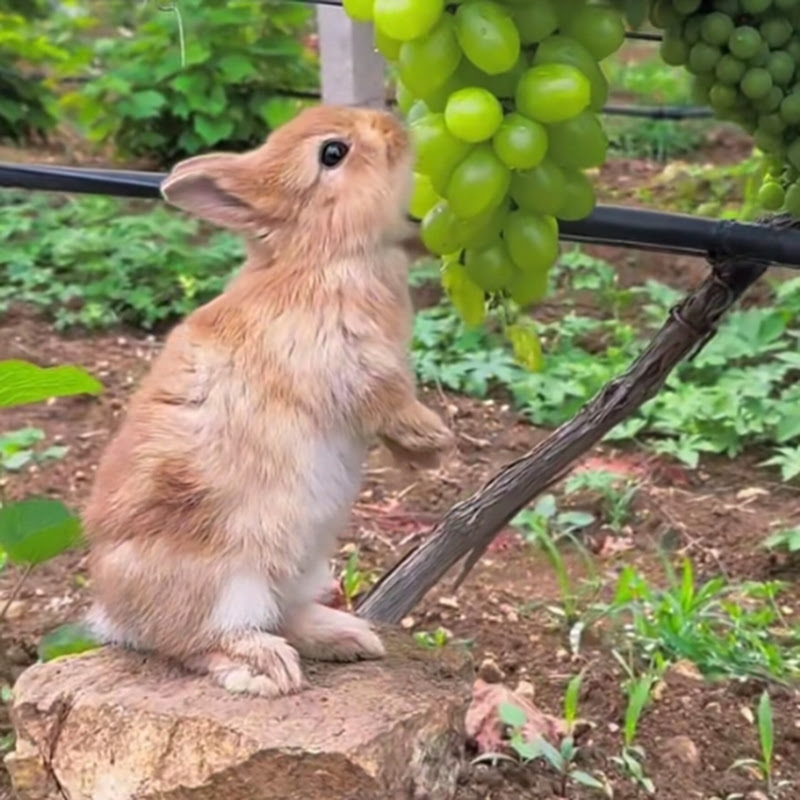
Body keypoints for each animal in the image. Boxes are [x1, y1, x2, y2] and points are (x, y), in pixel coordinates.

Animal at [82, 104, 455, 698]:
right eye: (333, 153)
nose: (392, 124)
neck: (322, 252)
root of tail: (117, 615)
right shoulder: (352, 364)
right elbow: (389, 400)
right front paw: (436, 439)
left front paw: (426, 453)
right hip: (227, 581)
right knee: (198, 642)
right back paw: (267, 667)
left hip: (303, 567)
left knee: (287, 615)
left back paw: (349, 638)